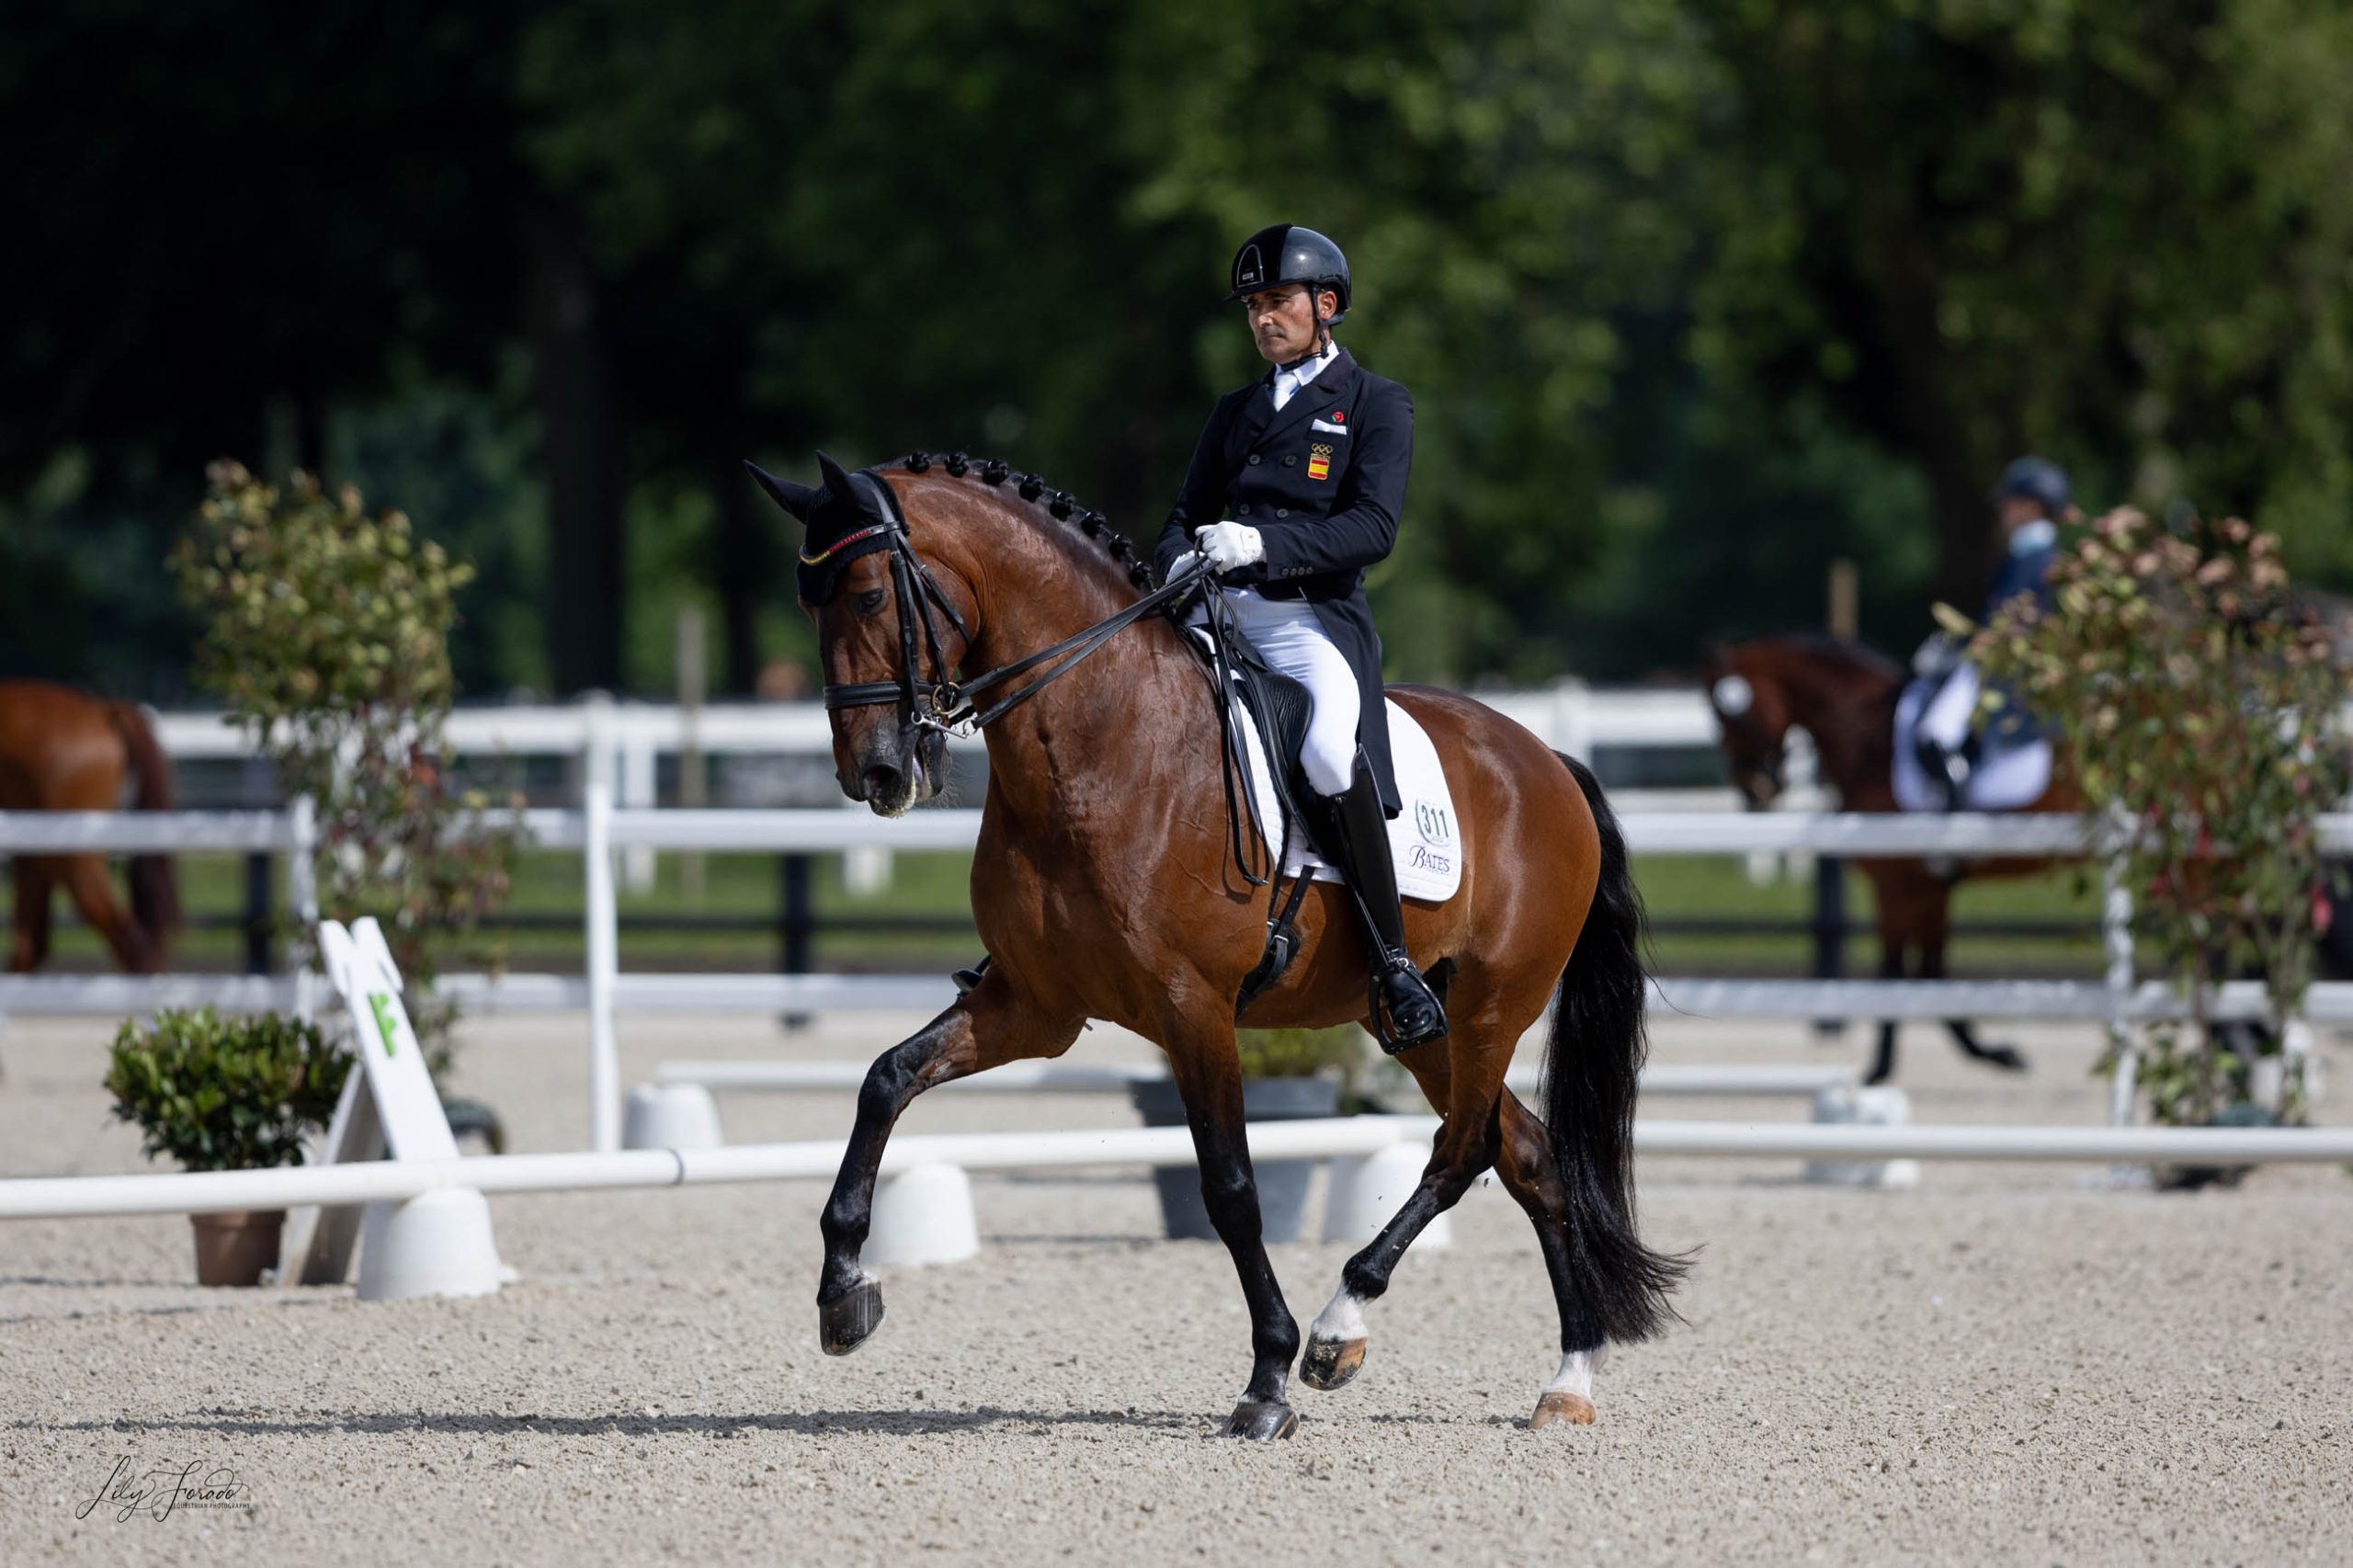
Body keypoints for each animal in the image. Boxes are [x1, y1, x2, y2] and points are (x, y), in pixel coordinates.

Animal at [743, 445, 1684, 1431]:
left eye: (868, 597)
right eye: (810, 605)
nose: (877, 774)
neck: (1101, 746)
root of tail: (1550, 763)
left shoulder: (1192, 1008)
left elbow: (1231, 1189)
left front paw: (1268, 1377)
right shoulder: (1032, 1007)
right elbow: (885, 1080)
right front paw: (845, 1291)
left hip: (1494, 1002)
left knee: (1463, 1151)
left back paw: (1338, 1327)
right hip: (1421, 1026)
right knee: (1527, 1154)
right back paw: (1567, 1378)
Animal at [1694, 635, 2080, 1087]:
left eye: (1727, 716)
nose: (1753, 790)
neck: (1867, 735)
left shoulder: (1893, 884)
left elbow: (1894, 975)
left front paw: (1879, 1071)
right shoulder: (1929, 888)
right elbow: (1930, 973)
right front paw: (1993, 1053)